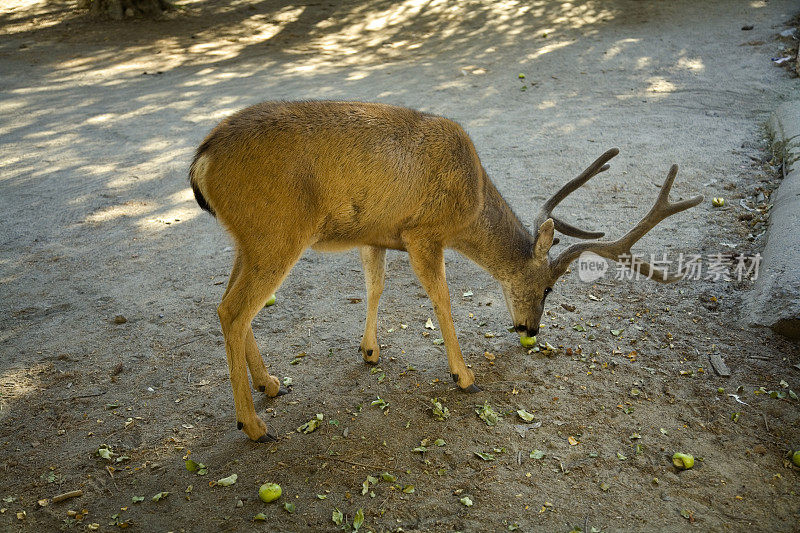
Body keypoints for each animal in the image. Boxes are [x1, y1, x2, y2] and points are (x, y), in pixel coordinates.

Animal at [191, 100, 704, 440]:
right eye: (549, 289)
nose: (531, 330)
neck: (470, 203)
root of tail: (201, 160)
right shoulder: (424, 232)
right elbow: (442, 298)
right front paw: (464, 375)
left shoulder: (378, 234)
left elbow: (376, 286)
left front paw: (370, 351)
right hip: (277, 231)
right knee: (234, 309)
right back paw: (253, 424)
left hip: (249, 239)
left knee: (227, 304)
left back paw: (270, 384)